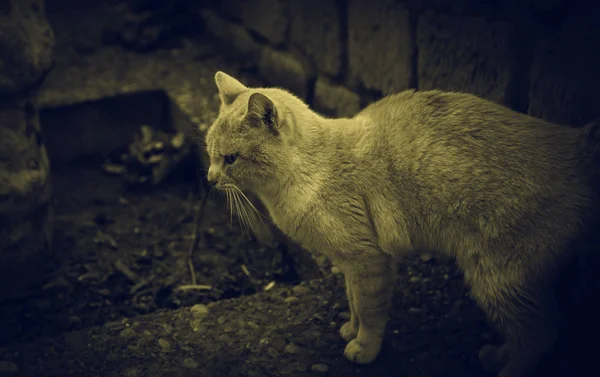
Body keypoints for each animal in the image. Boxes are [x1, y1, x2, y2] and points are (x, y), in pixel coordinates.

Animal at [203, 70, 600, 376]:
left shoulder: (369, 261)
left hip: (494, 278)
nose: (209, 178)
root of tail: (576, 143)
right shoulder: (351, 263)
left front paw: (364, 347)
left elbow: (370, 310)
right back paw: (495, 355)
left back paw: (506, 368)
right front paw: (350, 329)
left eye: (230, 159)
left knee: (541, 334)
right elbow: (353, 301)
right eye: (209, 151)